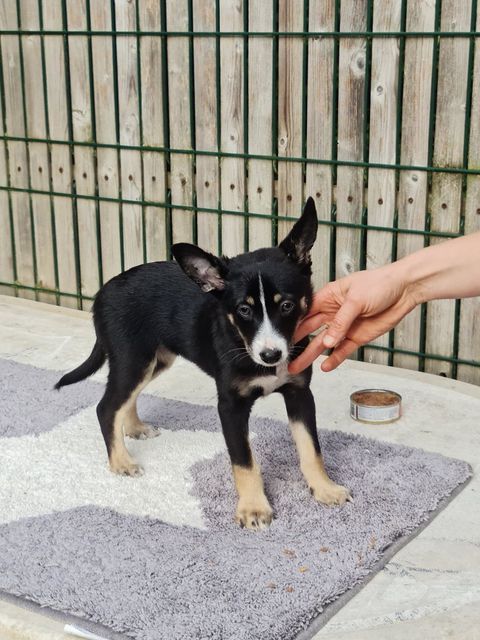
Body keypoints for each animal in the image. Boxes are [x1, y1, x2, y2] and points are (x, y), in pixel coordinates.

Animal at [55, 197, 351, 530]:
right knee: (107, 406)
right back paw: (121, 461)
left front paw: (324, 489)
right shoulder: (230, 406)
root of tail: (102, 292)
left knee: (125, 399)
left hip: (154, 360)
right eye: (244, 310)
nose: (271, 356)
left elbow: (311, 449)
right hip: (133, 358)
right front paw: (253, 509)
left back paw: (134, 428)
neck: (241, 341)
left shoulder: (299, 393)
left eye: (287, 305)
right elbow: (244, 461)